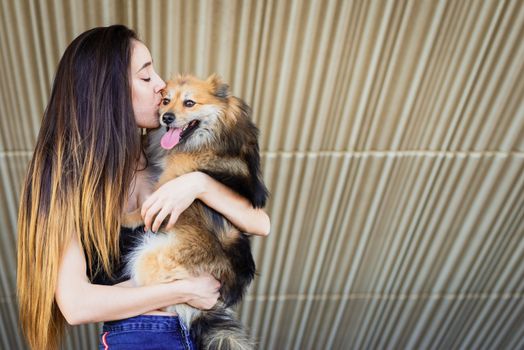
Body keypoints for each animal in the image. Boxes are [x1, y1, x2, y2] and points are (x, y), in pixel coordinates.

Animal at [124, 74, 266, 350]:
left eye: (189, 103)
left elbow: (146, 206)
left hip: (147, 259)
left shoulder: (169, 182)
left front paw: (125, 218)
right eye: (165, 101)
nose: (166, 117)